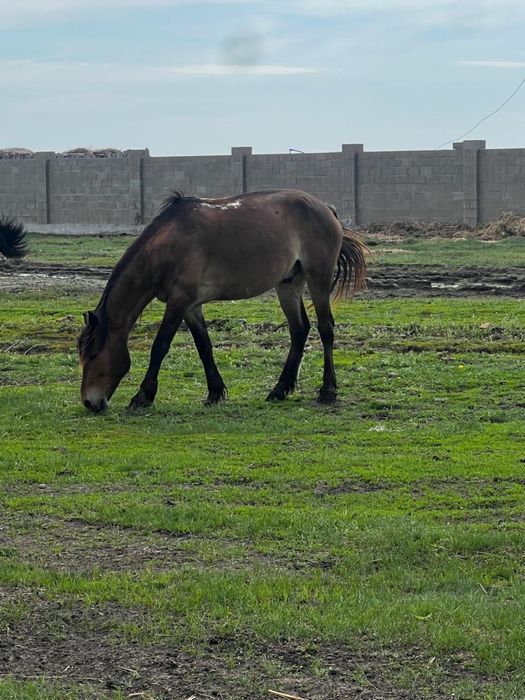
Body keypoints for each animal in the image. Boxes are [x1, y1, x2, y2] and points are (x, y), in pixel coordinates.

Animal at [78, 189, 367, 413]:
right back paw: (279, 390)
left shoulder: (179, 300)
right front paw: (215, 392)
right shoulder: (191, 306)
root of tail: (327, 209)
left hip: (318, 280)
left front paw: (142, 397)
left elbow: (159, 346)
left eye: (92, 354)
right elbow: (204, 346)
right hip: (288, 285)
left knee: (326, 329)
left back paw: (327, 390)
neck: (165, 246)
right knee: (299, 330)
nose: (89, 402)